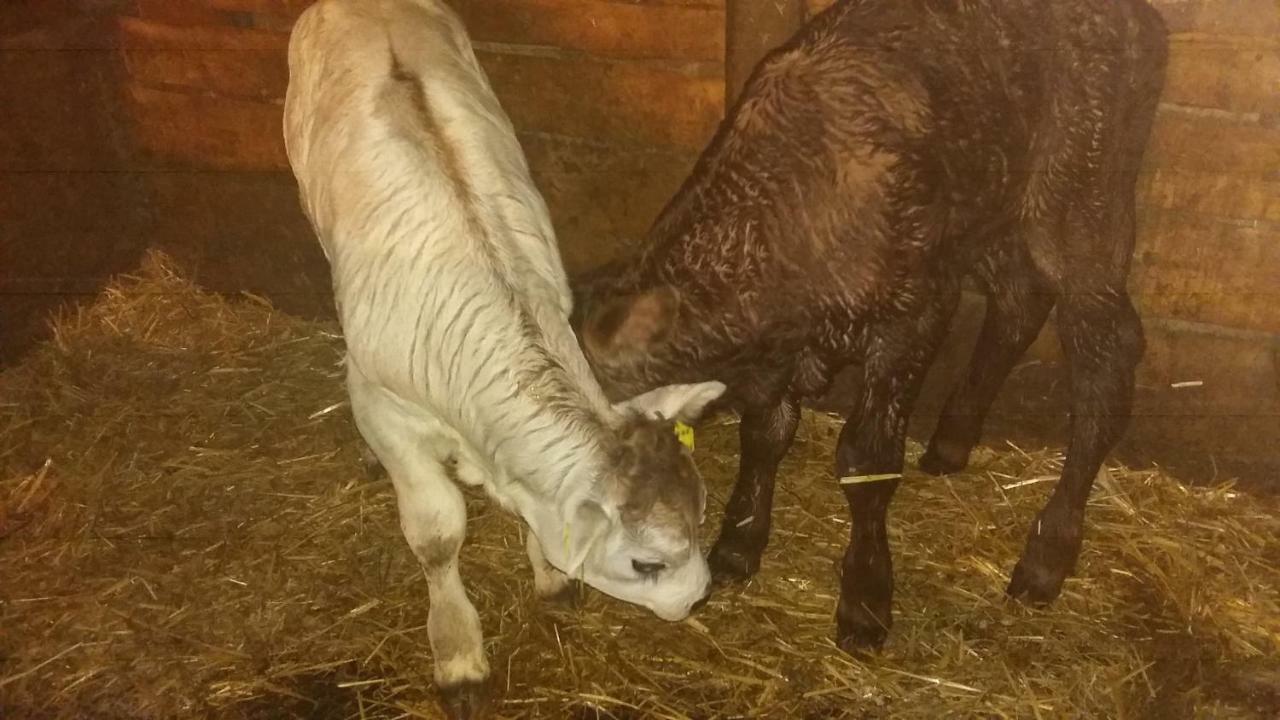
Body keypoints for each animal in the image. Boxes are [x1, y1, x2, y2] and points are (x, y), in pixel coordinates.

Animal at [285, 0, 727, 712]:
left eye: (703, 516)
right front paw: (458, 654)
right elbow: (437, 534)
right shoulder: (387, 407)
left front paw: (551, 579)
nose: (698, 597)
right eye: (647, 563)